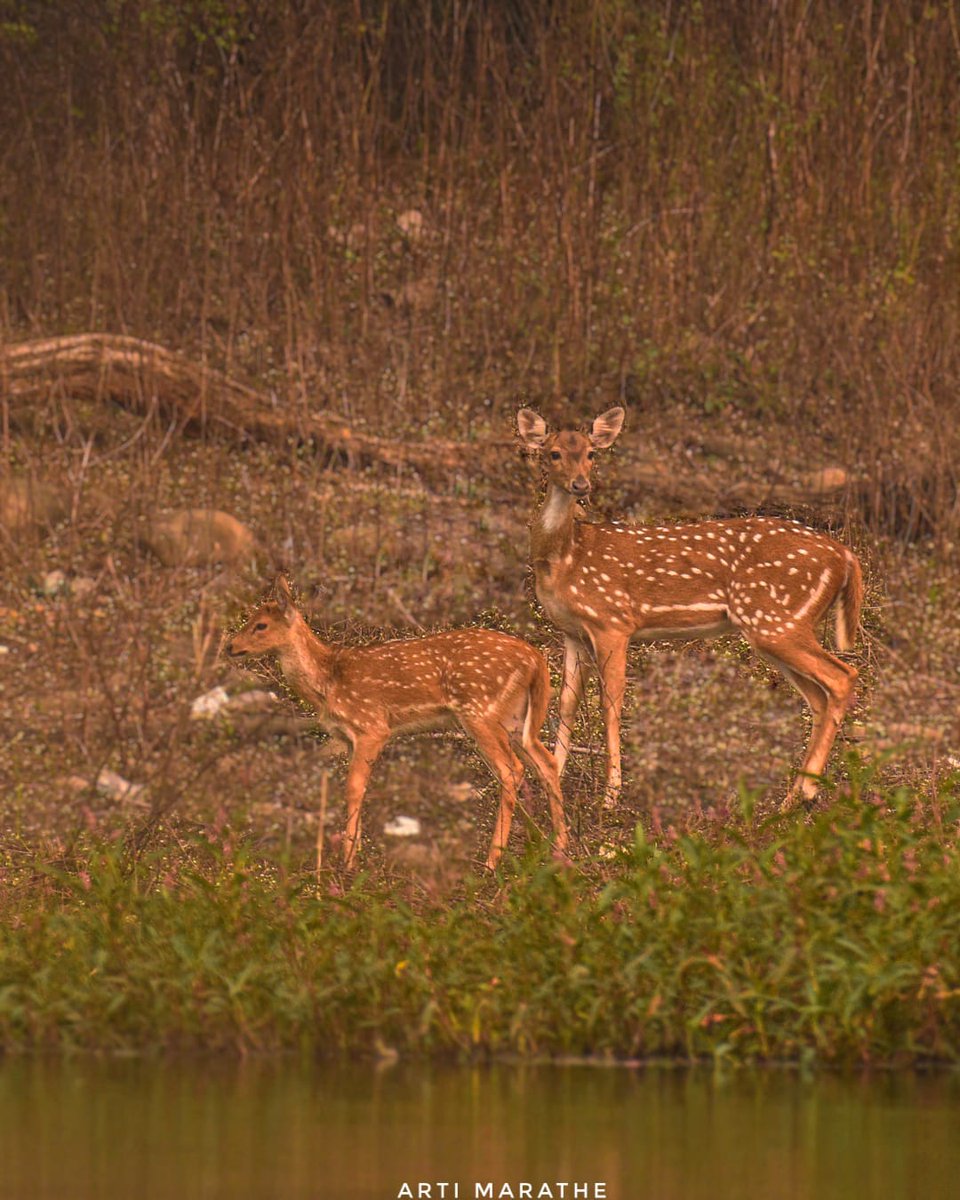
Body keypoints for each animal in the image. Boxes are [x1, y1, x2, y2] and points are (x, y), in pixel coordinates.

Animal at [226, 576, 571, 868]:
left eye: (260, 625)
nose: (230, 646)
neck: (328, 683)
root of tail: (536, 659)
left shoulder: (372, 726)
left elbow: (352, 787)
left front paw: (348, 862)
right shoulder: (350, 738)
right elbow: (359, 788)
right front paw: (356, 851)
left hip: (479, 710)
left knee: (511, 769)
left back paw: (492, 861)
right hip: (515, 718)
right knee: (547, 762)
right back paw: (561, 850)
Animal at [518, 408, 864, 811]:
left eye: (591, 453)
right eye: (554, 453)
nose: (580, 485)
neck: (565, 558)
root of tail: (846, 556)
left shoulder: (612, 622)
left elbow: (611, 703)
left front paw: (610, 796)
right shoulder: (571, 631)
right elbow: (567, 703)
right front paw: (554, 778)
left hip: (775, 619)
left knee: (842, 676)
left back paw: (804, 792)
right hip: (777, 628)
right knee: (820, 697)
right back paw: (792, 798)